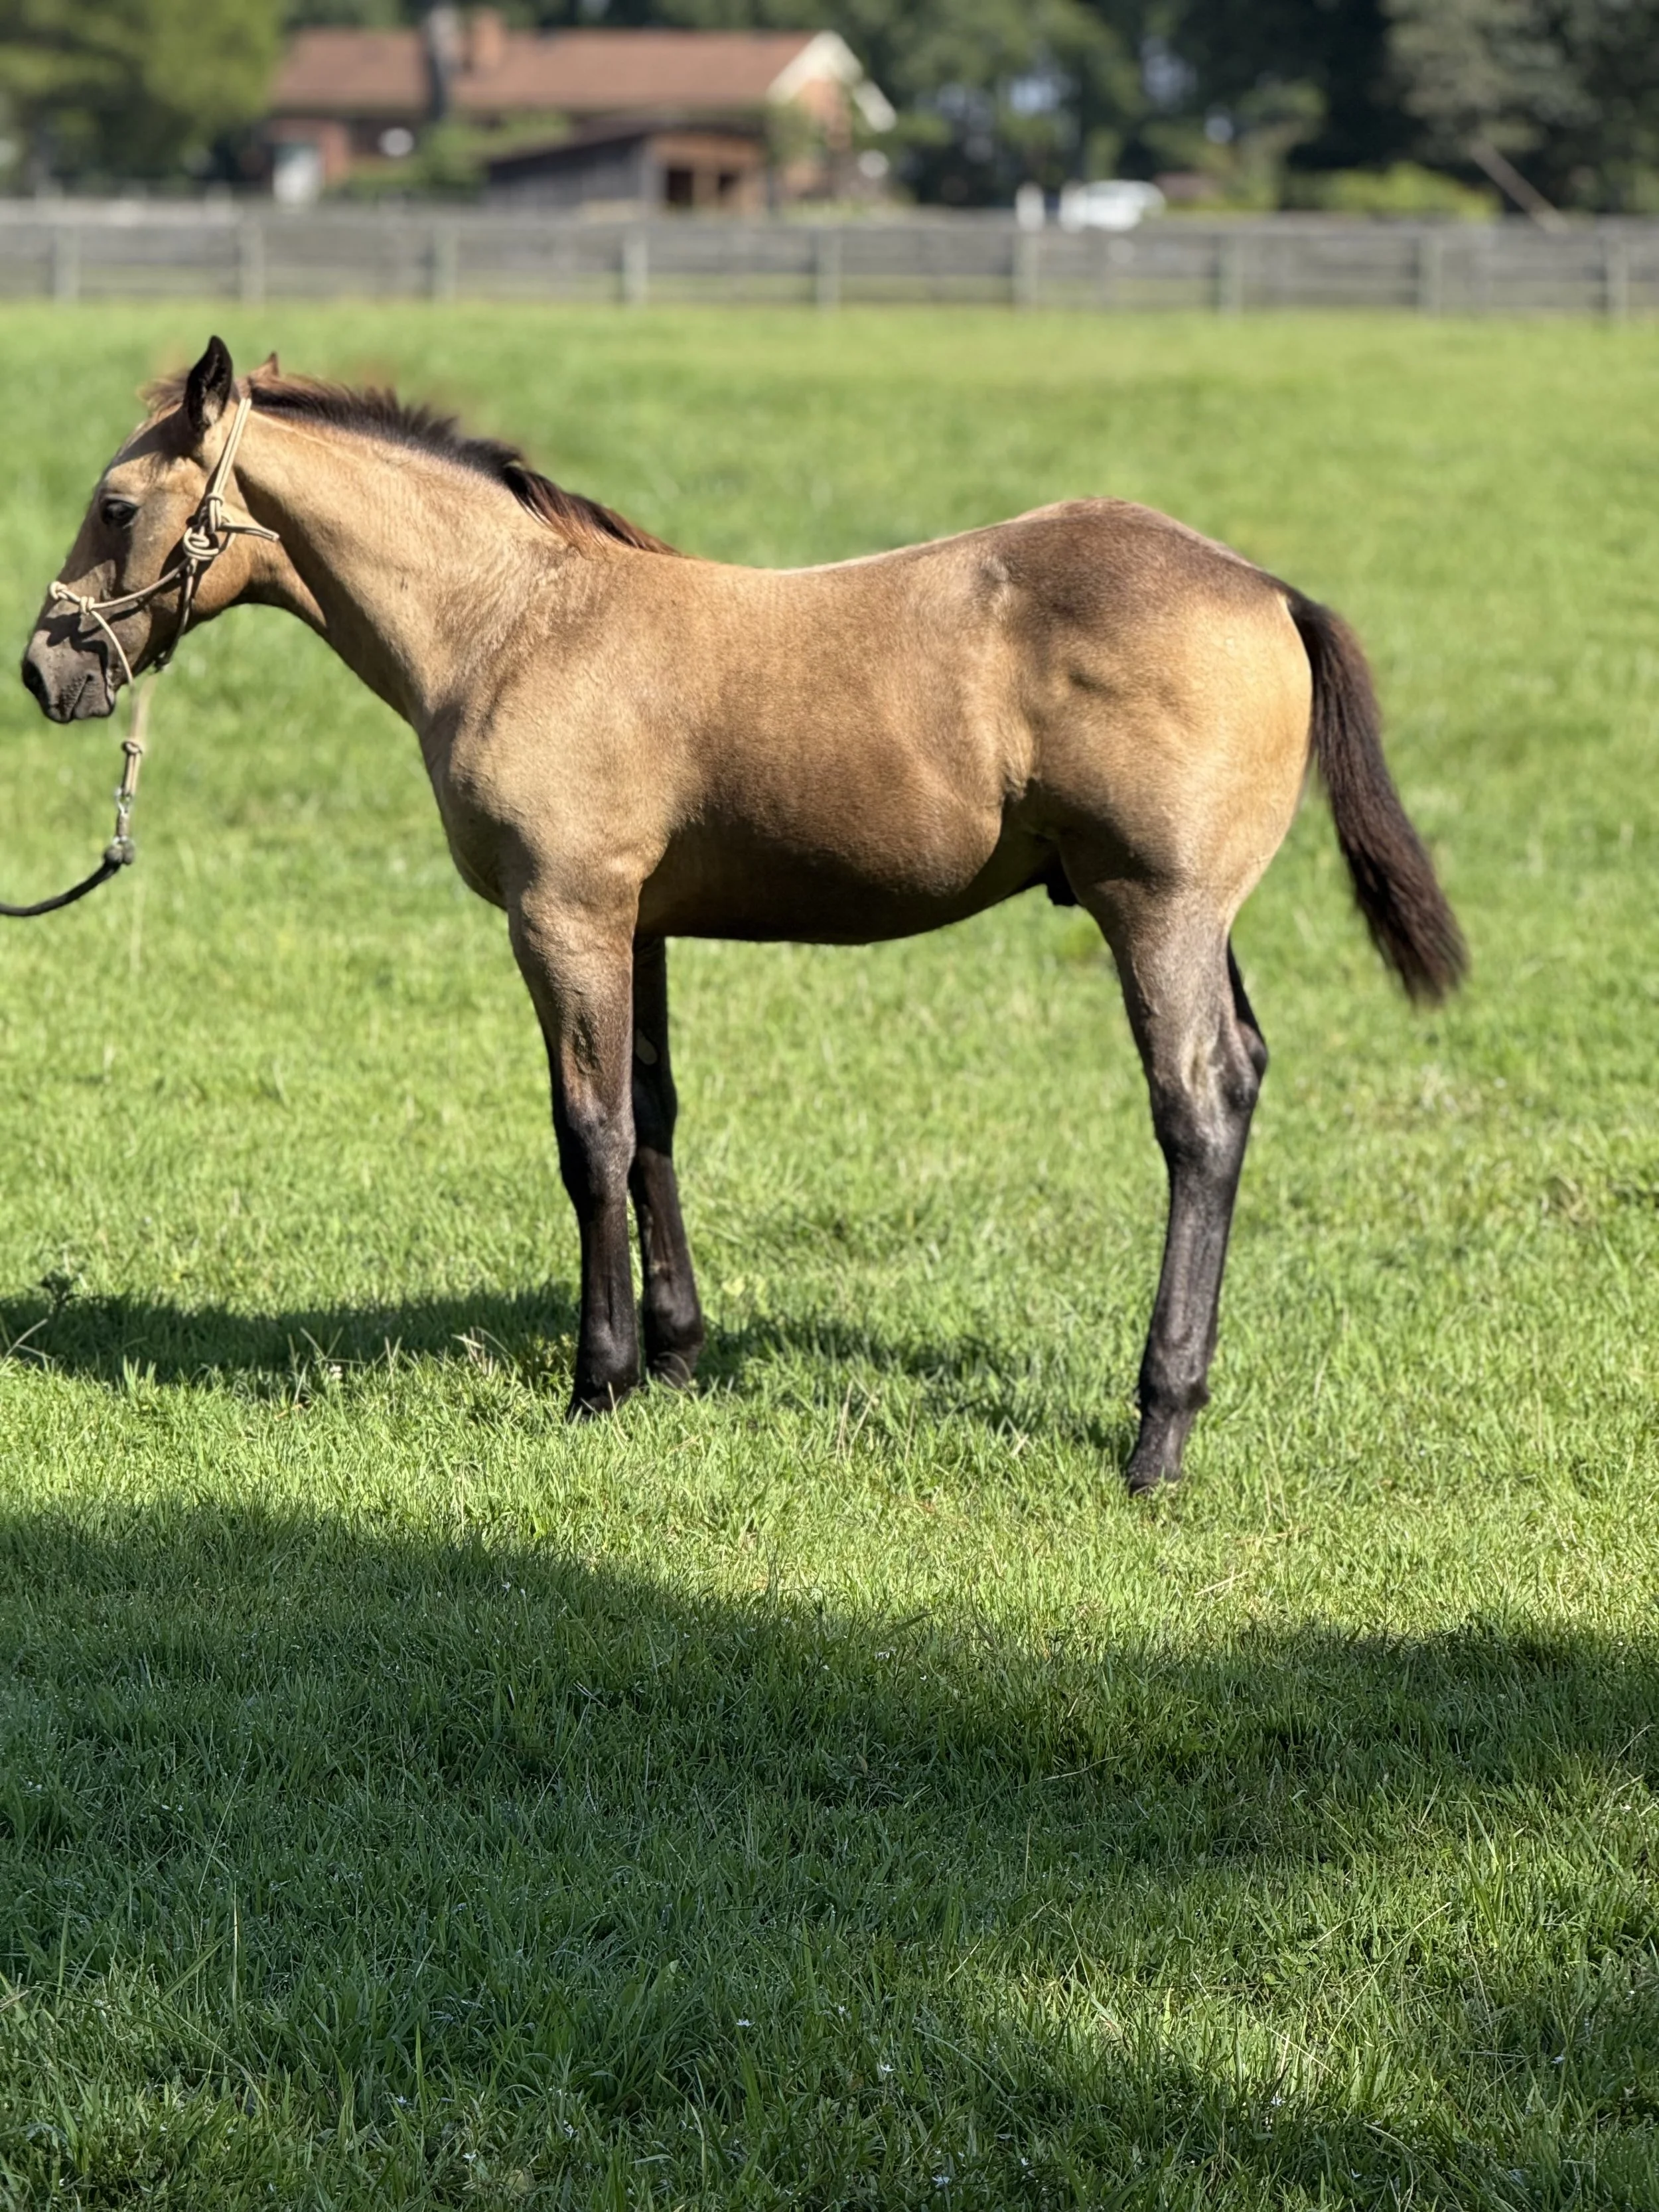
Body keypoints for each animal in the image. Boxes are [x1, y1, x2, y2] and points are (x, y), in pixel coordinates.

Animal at [21, 337, 1463, 1493]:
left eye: (115, 503)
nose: (45, 669)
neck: (515, 625)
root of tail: (1266, 587)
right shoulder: (637, 922)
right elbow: (653, 1118)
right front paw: (674, 1356)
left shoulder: (562, 918)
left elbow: (589, 1137)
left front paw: (597, 1381)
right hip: (1196, 920)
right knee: (1245, 1074)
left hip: (1152, 909)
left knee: (1198, 1105)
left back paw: (1156, 1431)